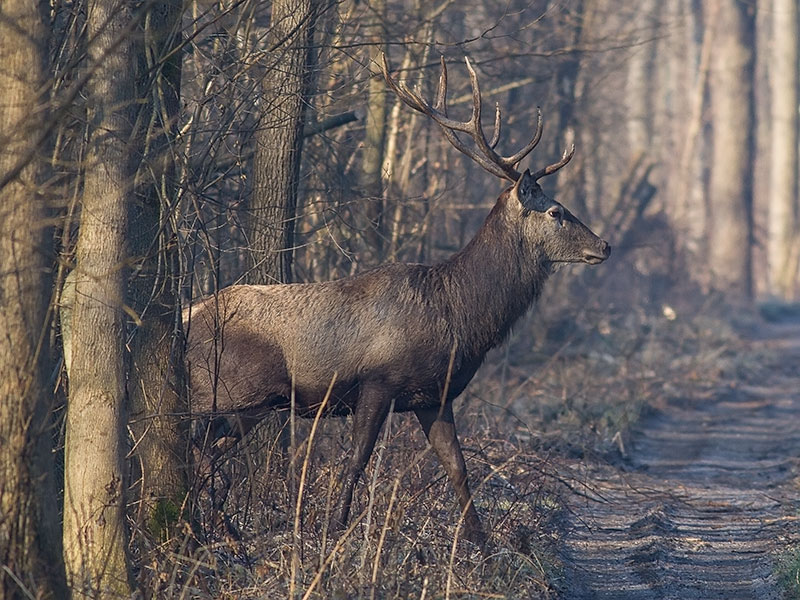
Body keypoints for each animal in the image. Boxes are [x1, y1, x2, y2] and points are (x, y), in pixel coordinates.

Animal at [184, 54, 608, 548]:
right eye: (556, 211)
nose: (604, 245)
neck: (459, 316)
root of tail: (185, 315)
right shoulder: (377, 380)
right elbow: (355, 461)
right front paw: (335, 530)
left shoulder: (434, 396)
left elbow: (459, 469)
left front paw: (482, 545)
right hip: (229, 392)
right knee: (196, 449)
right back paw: (219, 529)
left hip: (247, 404)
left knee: (202, 451)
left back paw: (221, 529)